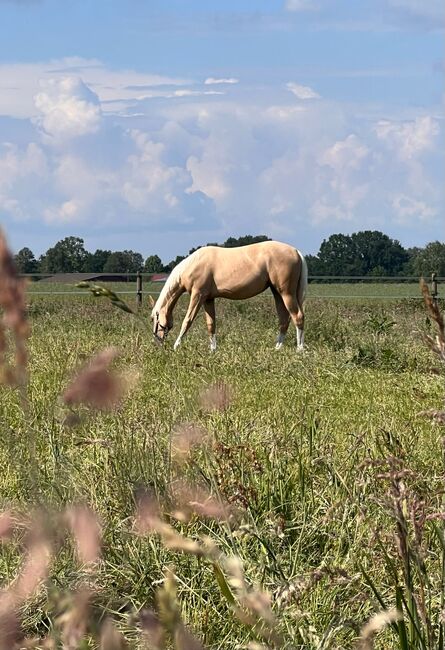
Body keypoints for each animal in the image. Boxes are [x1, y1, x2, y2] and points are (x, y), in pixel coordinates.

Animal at [149, 239, 306, 350]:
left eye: (153, 319)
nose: (158, 342)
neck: (193, 264)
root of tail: (296, 251)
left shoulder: (197, 296)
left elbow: (187, 321)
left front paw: (176, 346)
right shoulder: (208, 299)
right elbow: (211, 324)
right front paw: (213, 350)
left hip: (286, 294)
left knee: (297, 316)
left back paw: (299, 349)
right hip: (277, 293)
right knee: (284, 319)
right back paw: (278, 348)